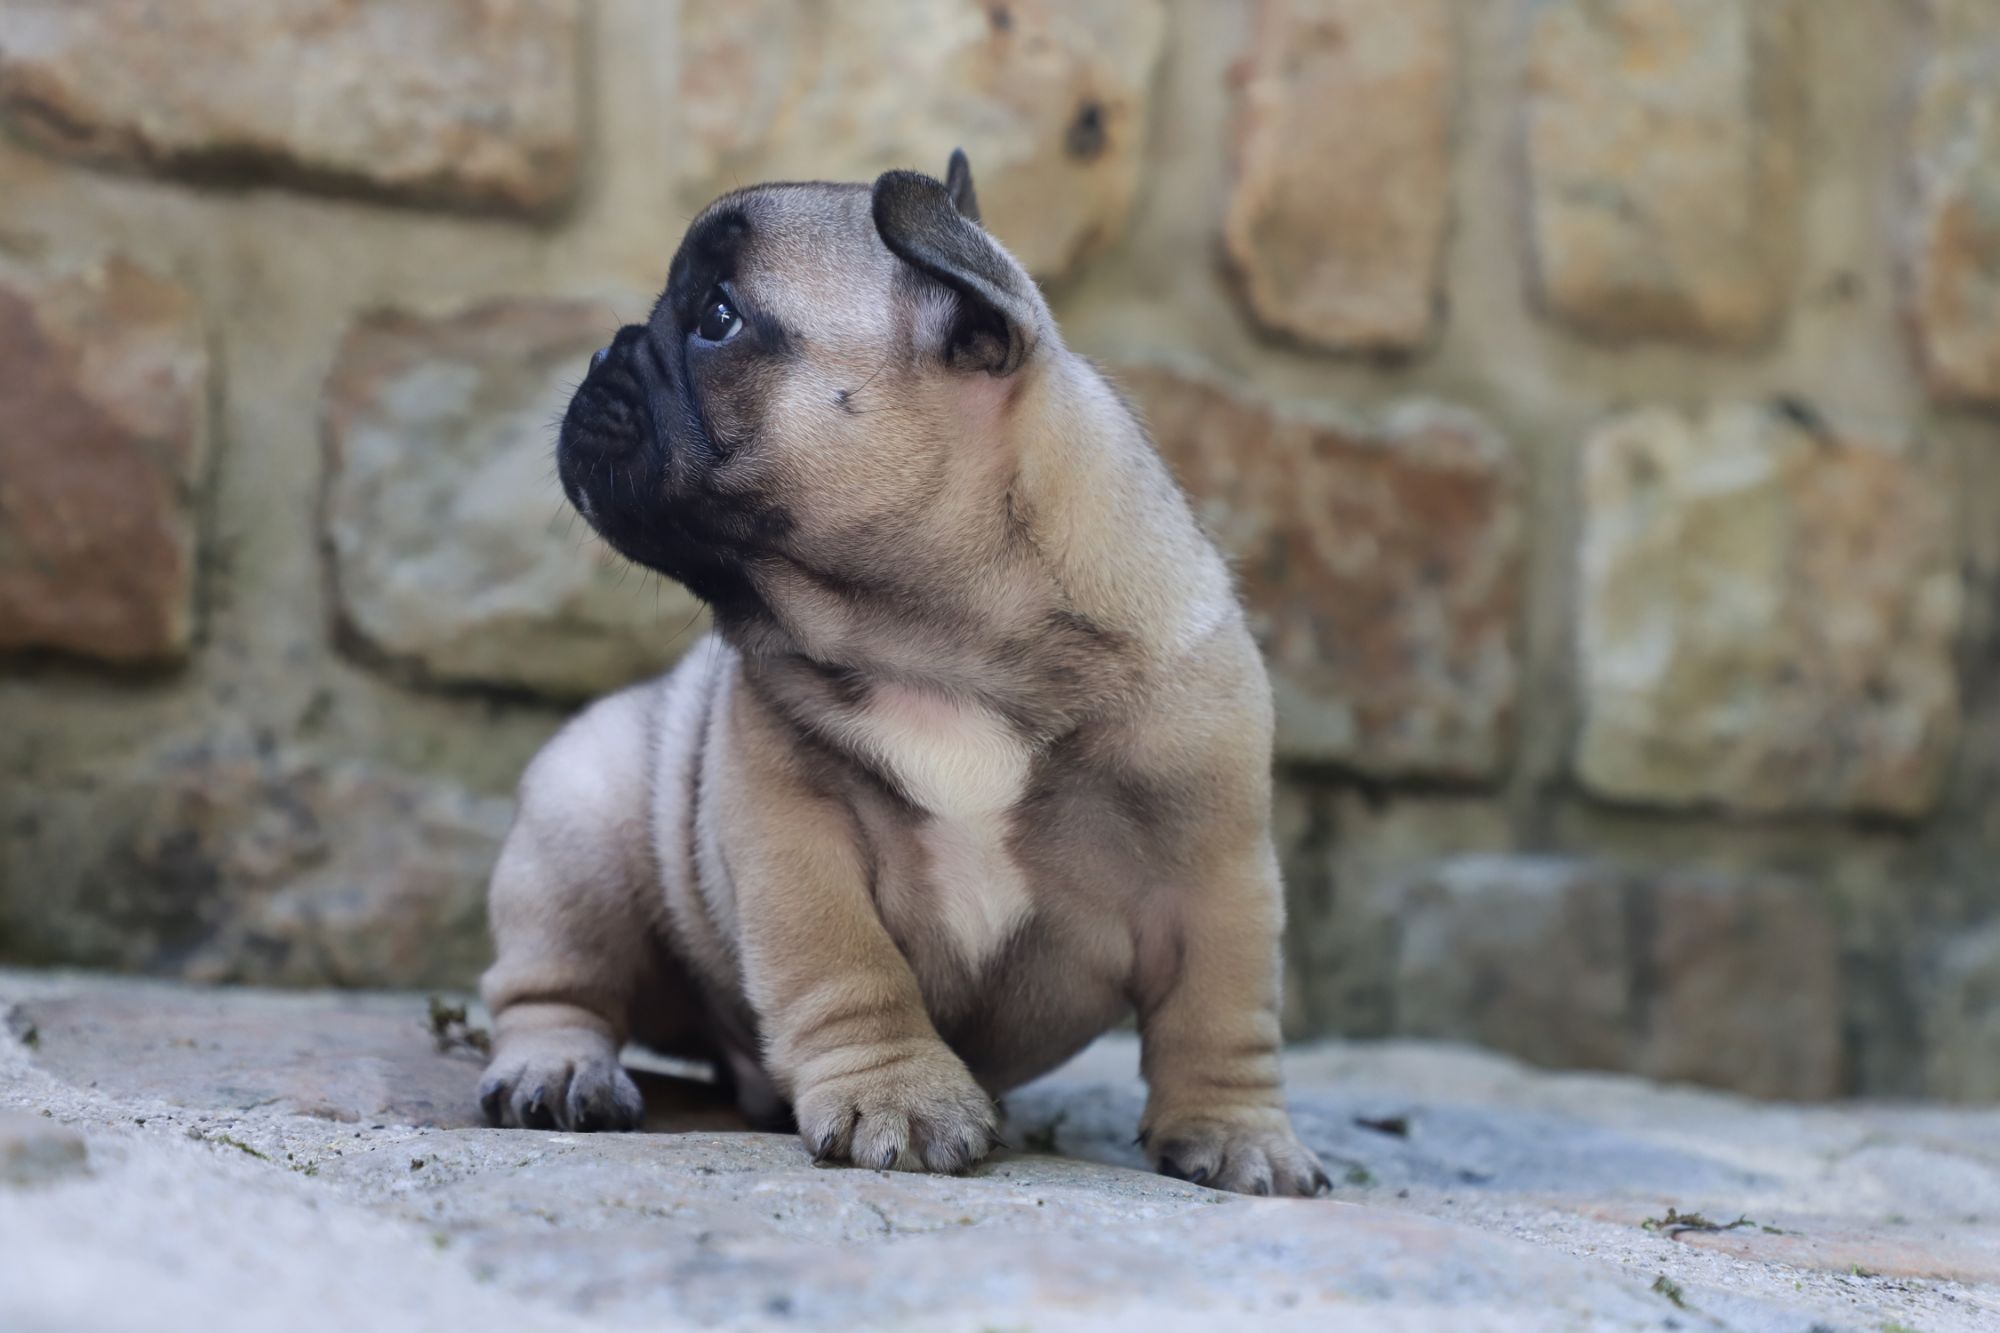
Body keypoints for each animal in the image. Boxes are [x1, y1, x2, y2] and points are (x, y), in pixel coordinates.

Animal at [477, 151, 1328, 1197]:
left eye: (717, 315)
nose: (604, 354)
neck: (940, 644)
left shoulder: (1213, 865)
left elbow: (1222, 1008)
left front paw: (1238, 1131)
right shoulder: (795, 836)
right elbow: (850, 964)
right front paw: (900, 1094)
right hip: (581, 827)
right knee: (556, 986)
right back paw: (558, 1072)